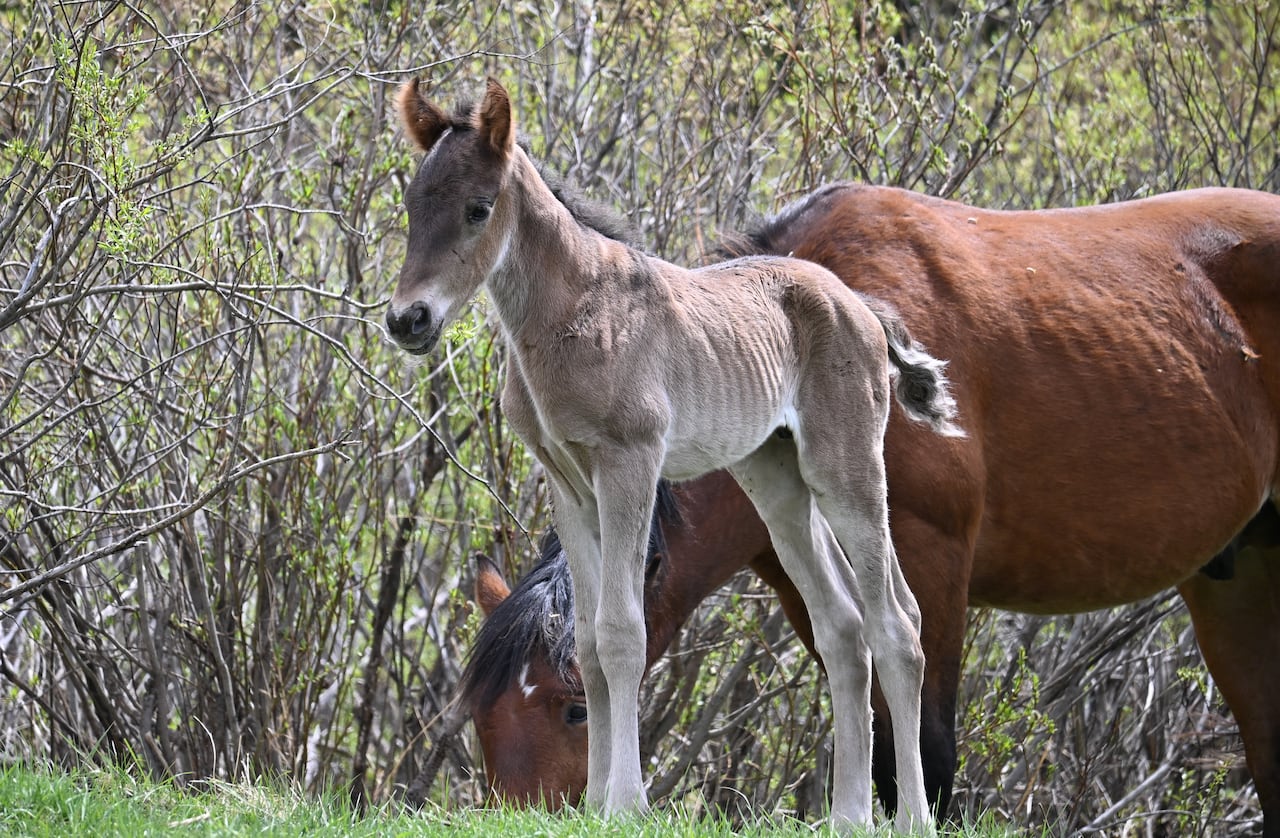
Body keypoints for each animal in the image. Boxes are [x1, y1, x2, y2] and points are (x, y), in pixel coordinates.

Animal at [384, 78, 963, 833]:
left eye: (478, 209)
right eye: (412, 204)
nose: (407, 320)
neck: (567, 316)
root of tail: (861, 304)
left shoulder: (629, 462)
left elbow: (623, 632)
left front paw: (627, 805)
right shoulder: (568, 484)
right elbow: (587, 643)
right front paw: (597, 803)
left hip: (847, 471)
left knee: (898, 621)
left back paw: (913, 817)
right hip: (775, 481)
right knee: (842, 625)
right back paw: (846, 816)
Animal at [461, 181, 1280, 836]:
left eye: (573, 708)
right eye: (477, 717)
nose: (520, 816)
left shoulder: (932, 561)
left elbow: (922, 731)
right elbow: (849, 658)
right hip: (1236, 583)